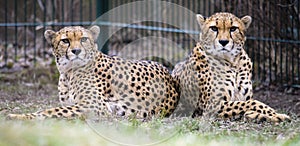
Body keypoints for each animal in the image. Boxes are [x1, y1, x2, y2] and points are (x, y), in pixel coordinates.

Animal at [8, 25, 179, 120]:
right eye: (65, 41)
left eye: (83, 39)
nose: (76, 51)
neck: (68, 73)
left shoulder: (93, 106)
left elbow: (51, 111)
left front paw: (20, 116)